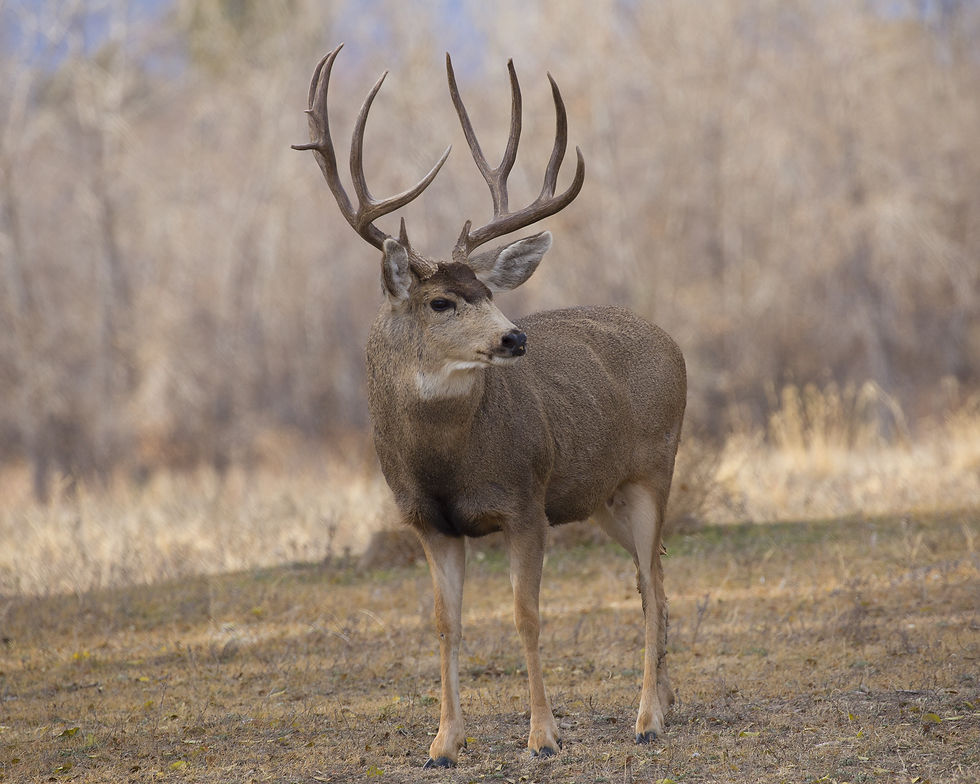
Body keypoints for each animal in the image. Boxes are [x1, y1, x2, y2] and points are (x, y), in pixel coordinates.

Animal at [293, 44, 687, 768]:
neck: (448, 461)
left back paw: (647, 718)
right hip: (602, 495)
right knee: (658, 577)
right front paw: (442, 743)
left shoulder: (524, 502)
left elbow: (525, 615)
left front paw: (544, 736)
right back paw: (667, 704)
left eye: (488, 291)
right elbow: (444, 623)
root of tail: (670, 340)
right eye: (442, 300)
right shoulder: (428, 521)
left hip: (655, 470)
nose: (514, 338)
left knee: (648, 582)